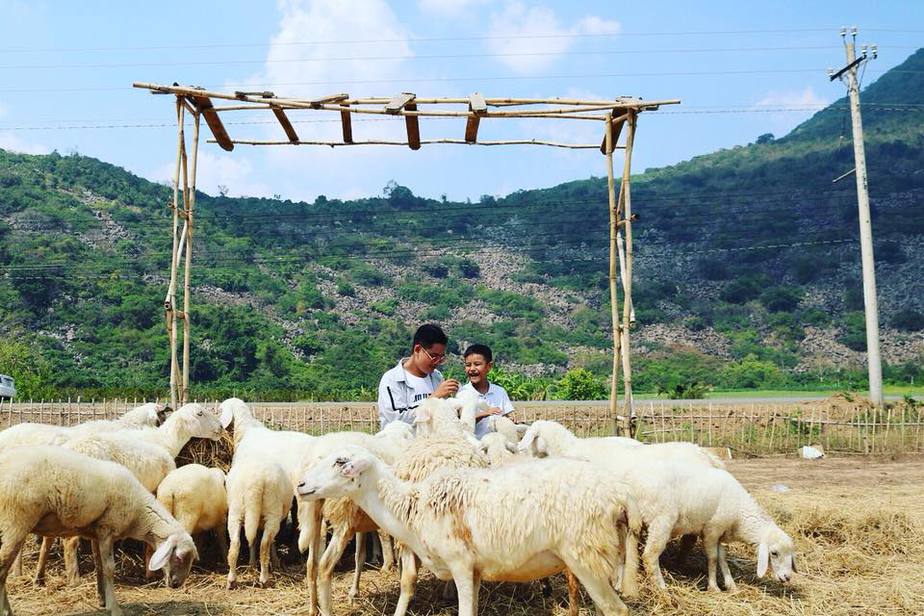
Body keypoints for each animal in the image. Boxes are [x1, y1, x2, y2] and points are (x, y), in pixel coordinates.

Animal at [0, 446, 197, 616]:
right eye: (180, 557)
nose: (177, 584)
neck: (139, 512)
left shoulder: (96, 532)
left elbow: (99, 566)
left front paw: (102, 599)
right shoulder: (107, 530)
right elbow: (109, 568)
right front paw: (114, 608)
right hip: (15, 522)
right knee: (2, 567)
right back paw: (6, 611)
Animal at [300, 448, 640, 616]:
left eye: (341, 462)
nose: (301, 485)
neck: (413, 509)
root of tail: (619, 496)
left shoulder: (461, 565)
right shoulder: (475, 571)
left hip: (587, 556)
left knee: (617, 610)